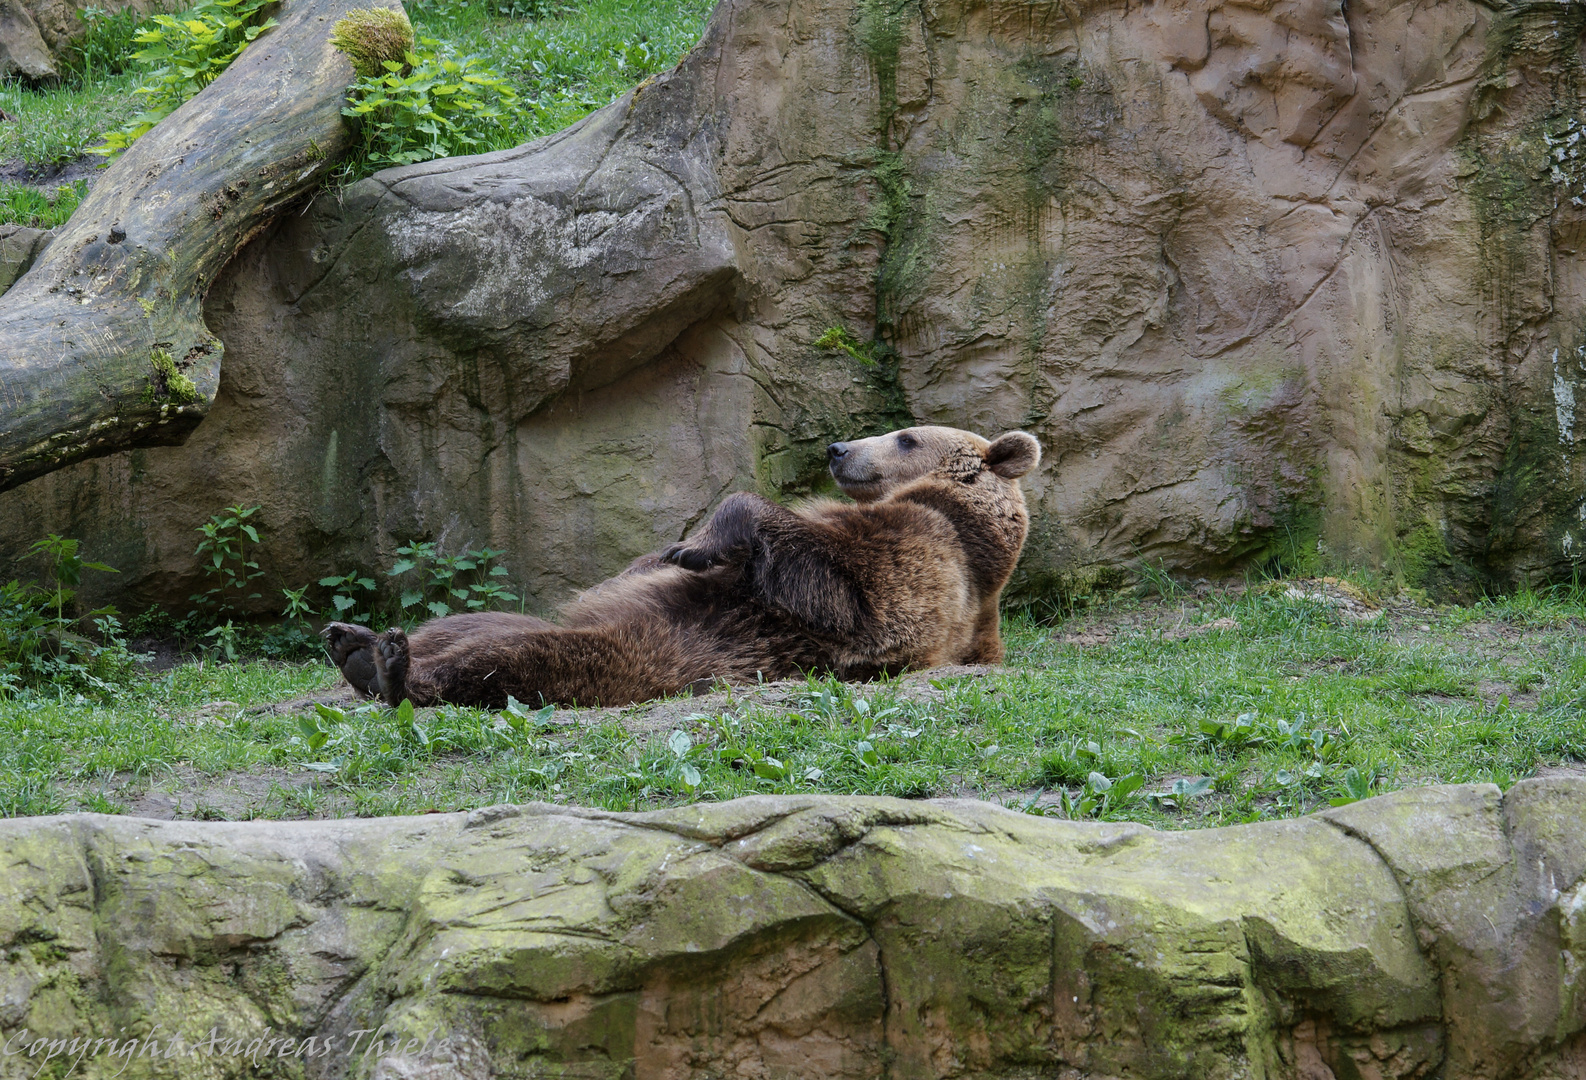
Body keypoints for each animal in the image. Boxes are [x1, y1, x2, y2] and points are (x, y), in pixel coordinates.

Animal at [321, 425, 1040, 710]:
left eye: (906, 436)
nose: (838, 449)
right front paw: (669, 549)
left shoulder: (915, 559)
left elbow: (836, 583)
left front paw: (696, 546)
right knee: (469, 622)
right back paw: (355, 640)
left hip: (662, 648)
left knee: (519, 657)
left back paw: (389, 668)